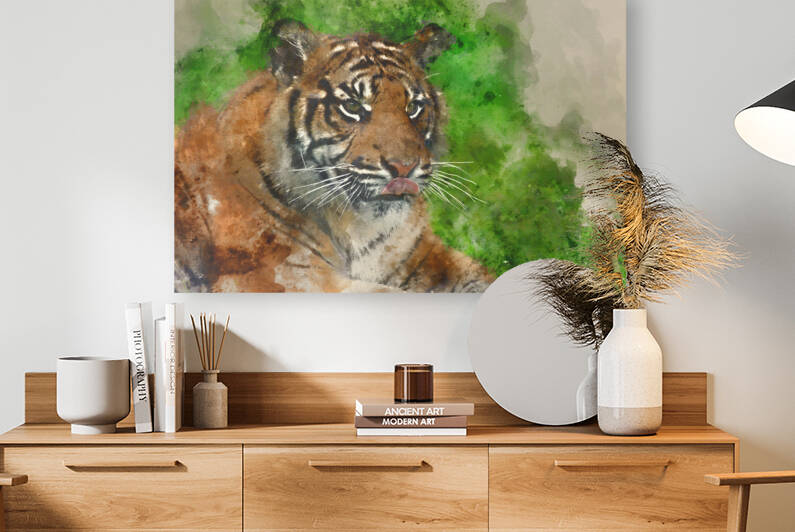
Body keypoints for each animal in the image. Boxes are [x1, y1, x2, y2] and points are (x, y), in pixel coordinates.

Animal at [175, 19, 495, 292]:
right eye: (352, 106)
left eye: (414, 107)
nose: (404, 168)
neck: (359, 224)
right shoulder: (279, 276)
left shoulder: (424, 254)